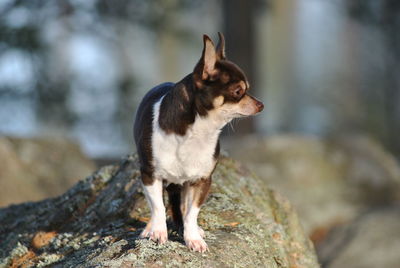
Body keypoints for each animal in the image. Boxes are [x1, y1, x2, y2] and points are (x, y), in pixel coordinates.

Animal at [134, 32, 264, 252]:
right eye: (238, 91)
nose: (261, 105)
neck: (197, 133)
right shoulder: (150, 175)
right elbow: (158, 206)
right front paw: (158, 232)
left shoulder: (201, 181)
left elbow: (191, 212)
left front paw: (192, 237)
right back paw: (150, 228)